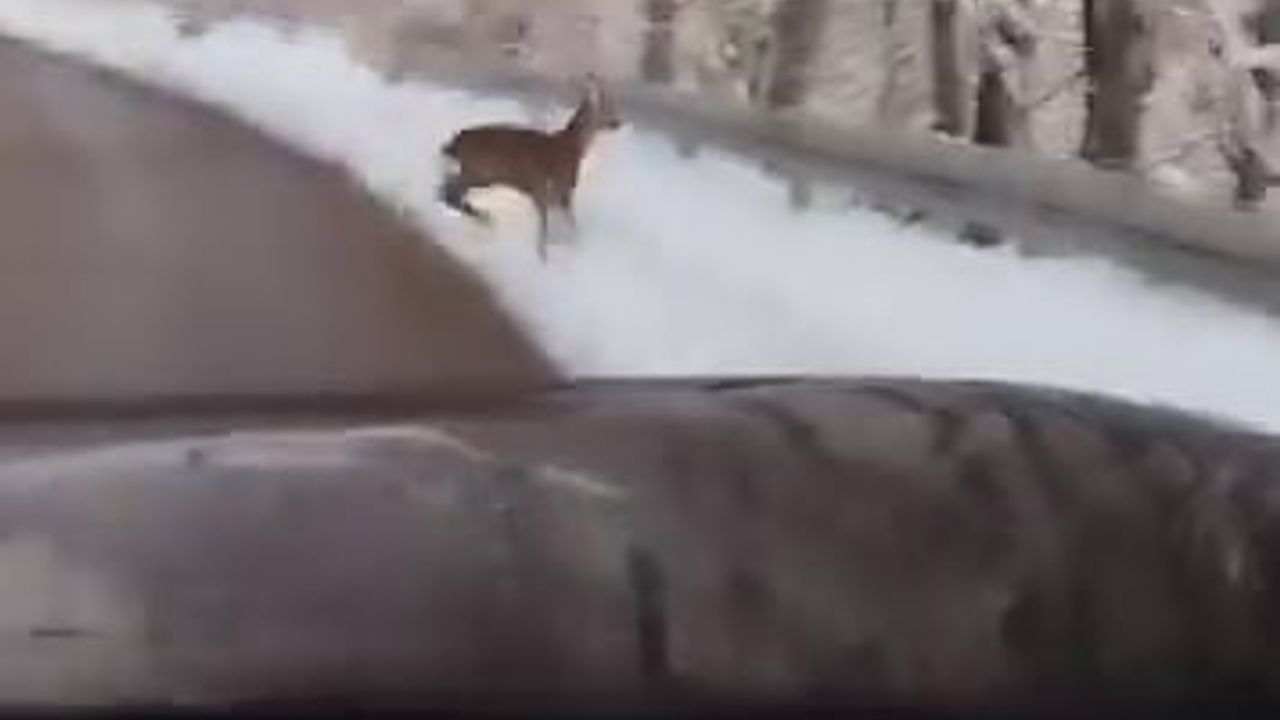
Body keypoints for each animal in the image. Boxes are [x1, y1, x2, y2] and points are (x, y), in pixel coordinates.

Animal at [437, 75, 623, 261]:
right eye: (607, 106)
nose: (617, 122)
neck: (573, 145)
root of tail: (454, 142)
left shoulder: (546, 192)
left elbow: (554, 224)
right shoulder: (555, 187)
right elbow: (559, 225)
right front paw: (548, 256)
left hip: (478, 173)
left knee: (447, 189)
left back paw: (481, 218)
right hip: (482, 172)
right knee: (449, 191)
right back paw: (485, 219)